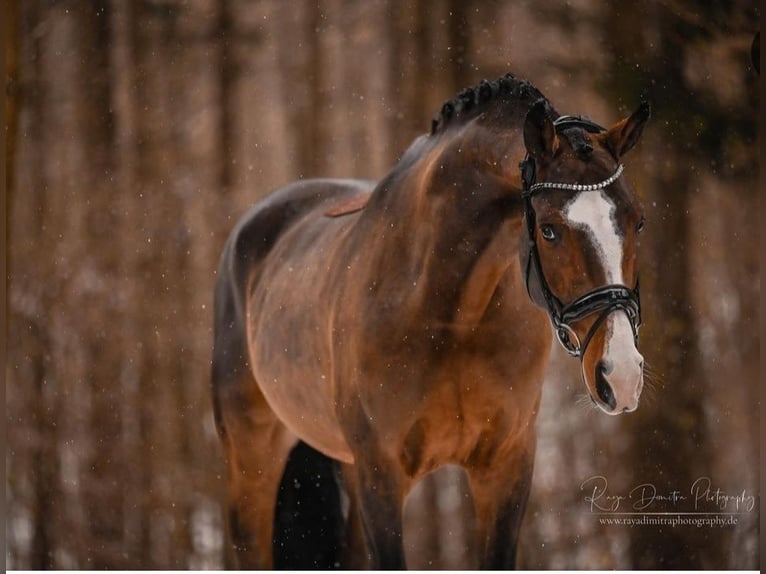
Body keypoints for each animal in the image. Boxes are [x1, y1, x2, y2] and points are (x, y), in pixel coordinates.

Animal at [213, 73, 652, 572]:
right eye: (550, 230)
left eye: (638, 221)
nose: (621, 375)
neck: (451, 314)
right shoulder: (381, 477)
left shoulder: (506, 466)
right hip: (253, 464)